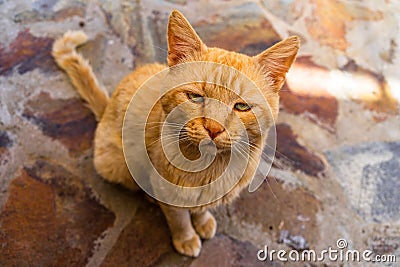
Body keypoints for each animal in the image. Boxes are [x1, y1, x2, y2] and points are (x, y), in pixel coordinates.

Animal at [51, 9, 298, 258]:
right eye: (195, 97)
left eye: (241, 107)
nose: (213, 128)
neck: (210, 171)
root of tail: (107, 107)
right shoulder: (168, 194)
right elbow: (179, 219)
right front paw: (186, 238)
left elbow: (200, 210)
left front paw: (203, 221)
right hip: (117, 165)